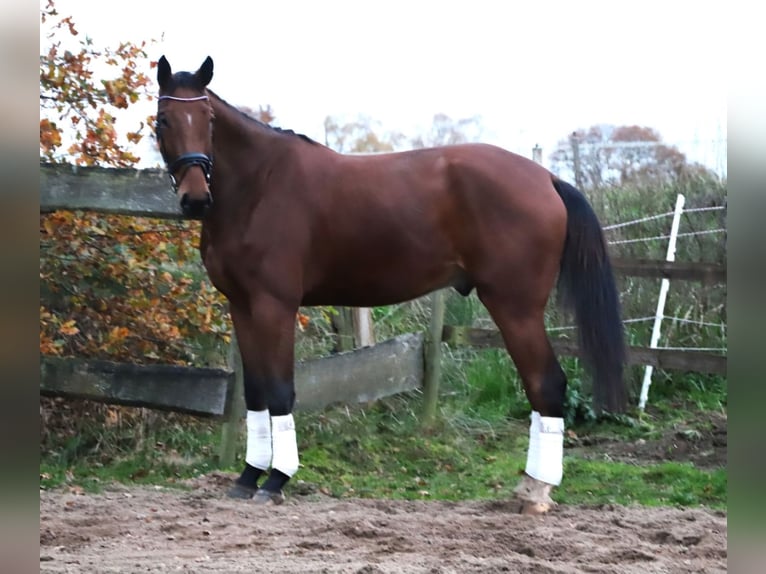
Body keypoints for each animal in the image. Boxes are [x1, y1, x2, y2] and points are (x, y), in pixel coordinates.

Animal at [155, 55, 626, 513]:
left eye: (207, 118)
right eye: (163, 120)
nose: (195, 199)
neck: (260, 185)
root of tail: (547, 178)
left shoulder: (276, 305)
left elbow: (281, 390)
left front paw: (276, 480)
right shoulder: (242, 304)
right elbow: (254, 392)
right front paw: (248, 476)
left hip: (516, 307)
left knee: (546, 384)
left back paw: (536, 492)